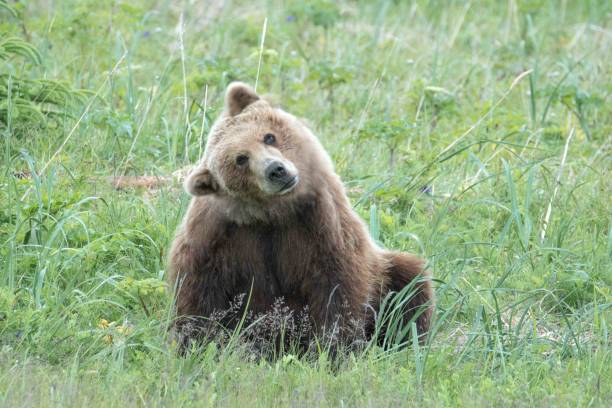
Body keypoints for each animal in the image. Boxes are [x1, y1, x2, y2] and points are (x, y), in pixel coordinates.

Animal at [169, 82, 436, 350]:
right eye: (241, 159)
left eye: (268, 136)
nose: (276, 170)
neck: (273, 214)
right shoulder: (215, 236)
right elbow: (198, 295)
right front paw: (197, 342)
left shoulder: (321, 224)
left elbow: (337, 286)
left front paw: (332, 345)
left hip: (385, 271)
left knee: (409, 282)